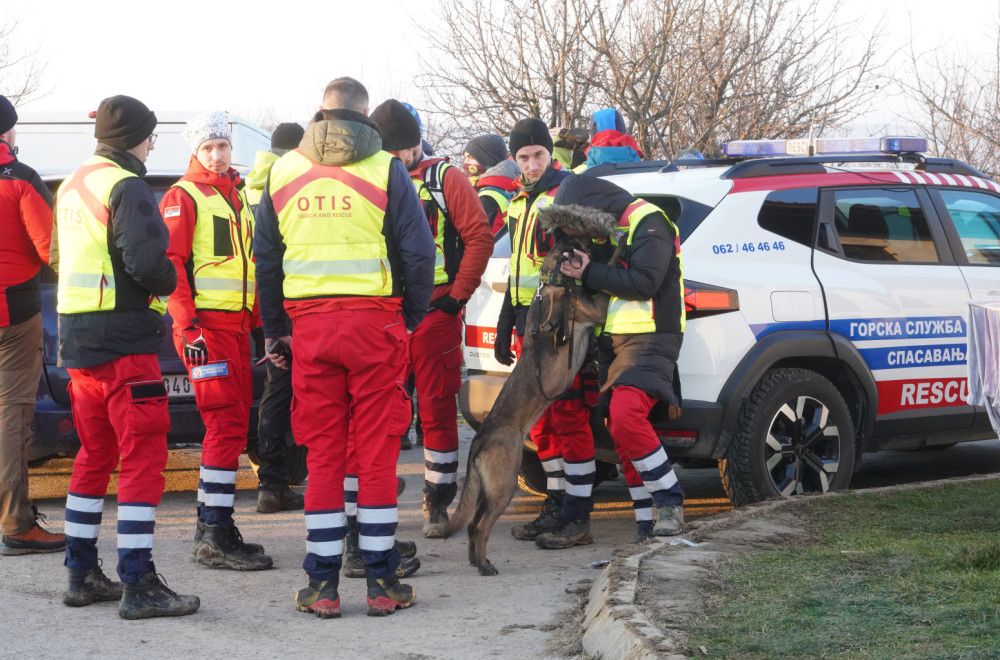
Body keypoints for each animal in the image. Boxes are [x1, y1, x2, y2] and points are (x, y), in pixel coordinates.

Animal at [444, 204, 620, 576]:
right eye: (589, 243)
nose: (607, 241)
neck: (555, 281)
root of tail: (480, 440)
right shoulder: (596, 311)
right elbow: (605, 287)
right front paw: (619, 252)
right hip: (504, 484)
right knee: (480, 526)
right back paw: (485, 565)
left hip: (488, 487)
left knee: (471, 525)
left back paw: (476, 561)